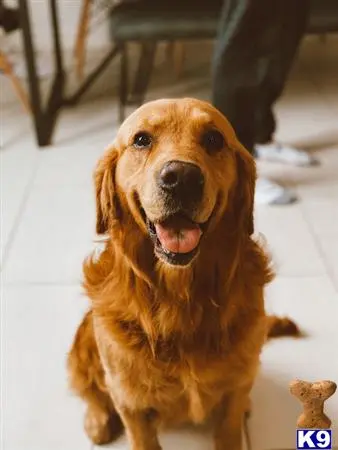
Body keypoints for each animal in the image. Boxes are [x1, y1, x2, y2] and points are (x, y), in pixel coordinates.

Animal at [66, 98, 298, 450]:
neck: (180, 297)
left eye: (214, 139)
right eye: (141, 140)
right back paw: (98, 419)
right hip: (84, 343)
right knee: (91, 389)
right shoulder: (130, 402)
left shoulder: (237, 385)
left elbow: (230, 425)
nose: (182, 177)